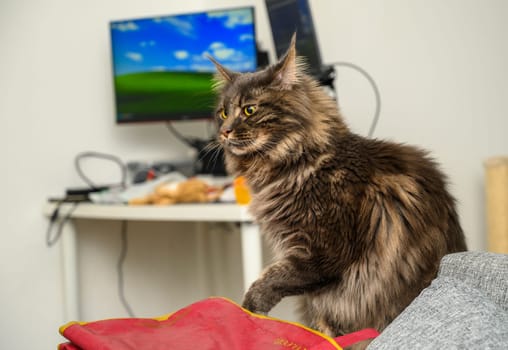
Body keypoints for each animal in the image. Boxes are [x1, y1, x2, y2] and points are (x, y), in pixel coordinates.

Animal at [207, 34, 468, 346]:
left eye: (249, 109)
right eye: (223, 112)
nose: (224, 131)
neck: (297, 163)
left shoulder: (323, 253)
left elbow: (269, 280)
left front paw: (248, 312)